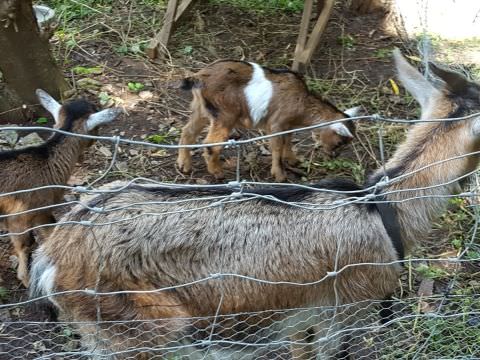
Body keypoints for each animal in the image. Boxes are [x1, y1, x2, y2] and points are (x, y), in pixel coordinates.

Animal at [178, 60, 358, 183]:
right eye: (340, 142)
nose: (333, 156)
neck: (302, 102)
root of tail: (198, 77)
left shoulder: (287, 125)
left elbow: (288, 141)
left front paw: (293, 160)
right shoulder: (276, 123)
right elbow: (277, 147)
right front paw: (280, 176)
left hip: (201, 109)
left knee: (187, 132)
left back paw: (184, 166)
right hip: (224, 114)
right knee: (211, 144)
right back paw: (217, 173)